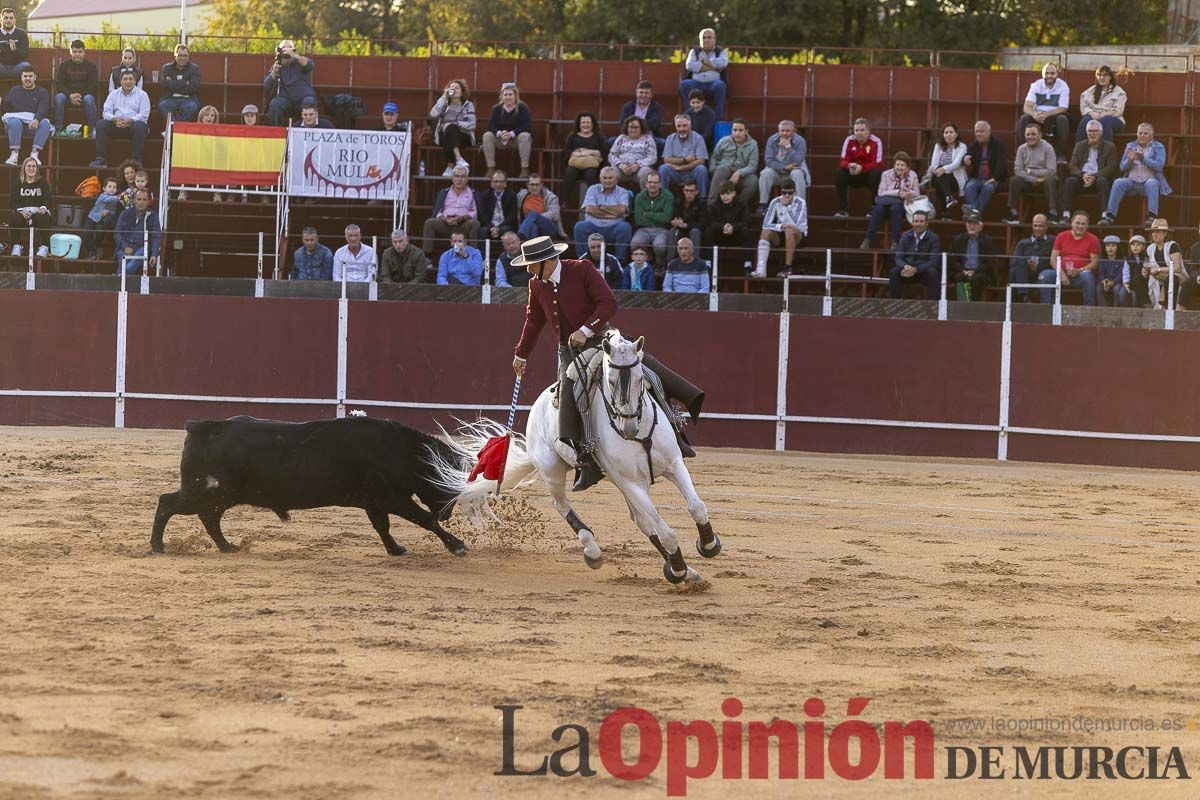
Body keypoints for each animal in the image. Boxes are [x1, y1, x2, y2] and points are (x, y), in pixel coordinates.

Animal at [151, 419, 468, 556]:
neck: (400, 450)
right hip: (206, 491)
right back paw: (157, 546)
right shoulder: (391, 498)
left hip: (218, 494)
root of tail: (203, 427)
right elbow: (423, 520)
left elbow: (382, 527)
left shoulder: (374, 501)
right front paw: (458, 546)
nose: (448, 513)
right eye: (449, 483)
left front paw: (396, 549)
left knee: (209, 517)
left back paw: (227, 547)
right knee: (168, 502)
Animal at [439, 328, 724, 585]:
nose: (628, 428)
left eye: (640, 379)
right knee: (561, 504)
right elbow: (666, 532)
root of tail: (536, 410)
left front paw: (708, 545)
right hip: (553, 470)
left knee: (642, 521)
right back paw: (593, 551)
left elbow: (696, 506)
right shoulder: (631, 483)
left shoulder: (673, 464)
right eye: (610, 381)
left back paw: (688, 573)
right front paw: (678, 567)